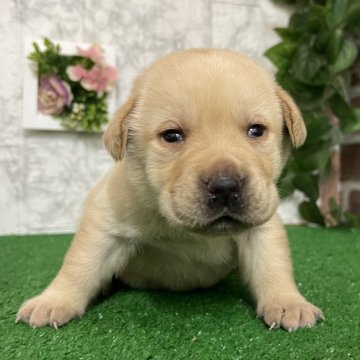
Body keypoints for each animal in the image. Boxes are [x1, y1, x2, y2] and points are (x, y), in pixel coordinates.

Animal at [16, 49, 324, 330]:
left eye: (256, 131)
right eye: (172, 136)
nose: (225, 186)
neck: (189, 232)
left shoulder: (262, 227)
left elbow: (273, 266)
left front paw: (288, 302)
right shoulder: (106, 223)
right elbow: (79, 265)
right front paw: (54, 300)